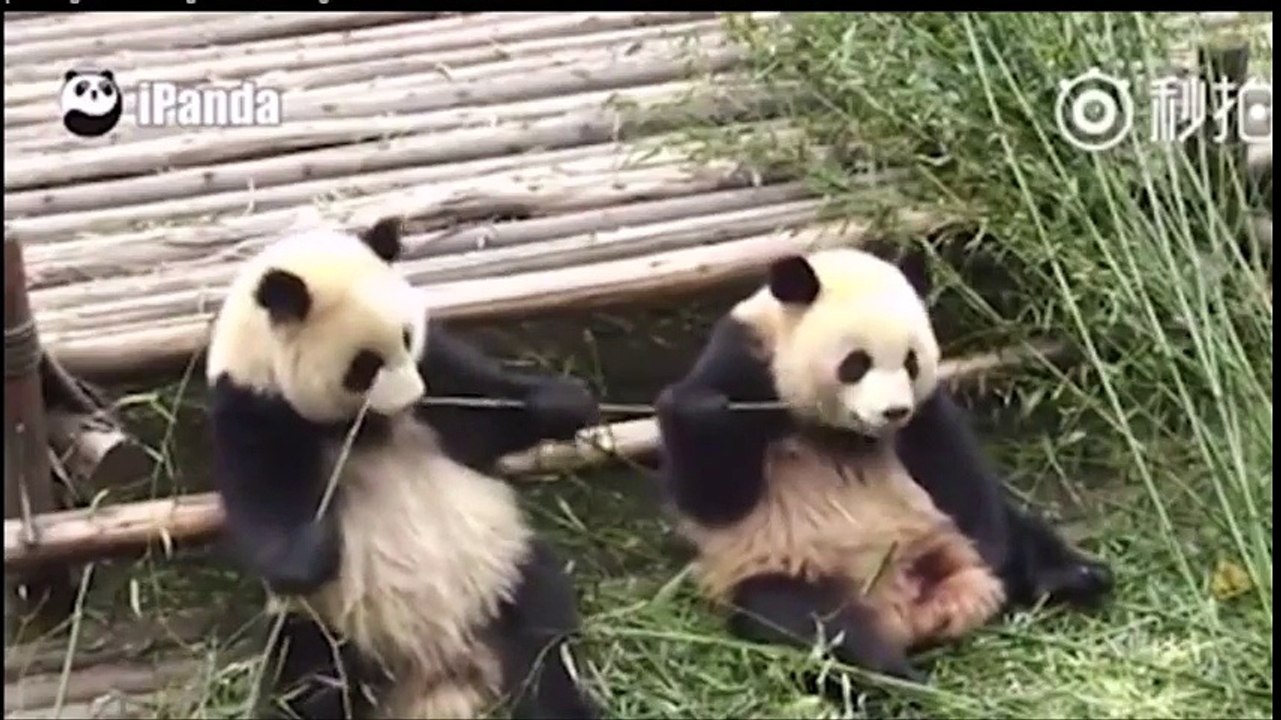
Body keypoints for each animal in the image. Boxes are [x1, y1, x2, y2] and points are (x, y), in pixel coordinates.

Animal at [205, 216, 602, 719]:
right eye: (364, 365)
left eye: (407, 336)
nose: (413, 396)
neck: (367, 425)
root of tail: (443, 669)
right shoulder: (251, 408)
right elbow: (264, 505)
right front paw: (313, 548)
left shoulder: (438, 373)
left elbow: (482, 411)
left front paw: (564, 402)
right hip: (329, 624)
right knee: (314, 676)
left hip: (500, 568)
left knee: (543, 639)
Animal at [654, 247, 1115, 687]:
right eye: (856, 363)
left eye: (912, 362)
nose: (893, 411)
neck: (844, 432)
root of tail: (912, 613)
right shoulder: (744, 367)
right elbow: (713, 496)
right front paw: (705, 412)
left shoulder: (923, 412)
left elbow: (955, 467)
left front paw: (1000, 551)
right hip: (790, 567)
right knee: (813, 624)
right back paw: (896, 677)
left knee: (1022, 530)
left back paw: (1074, 575)